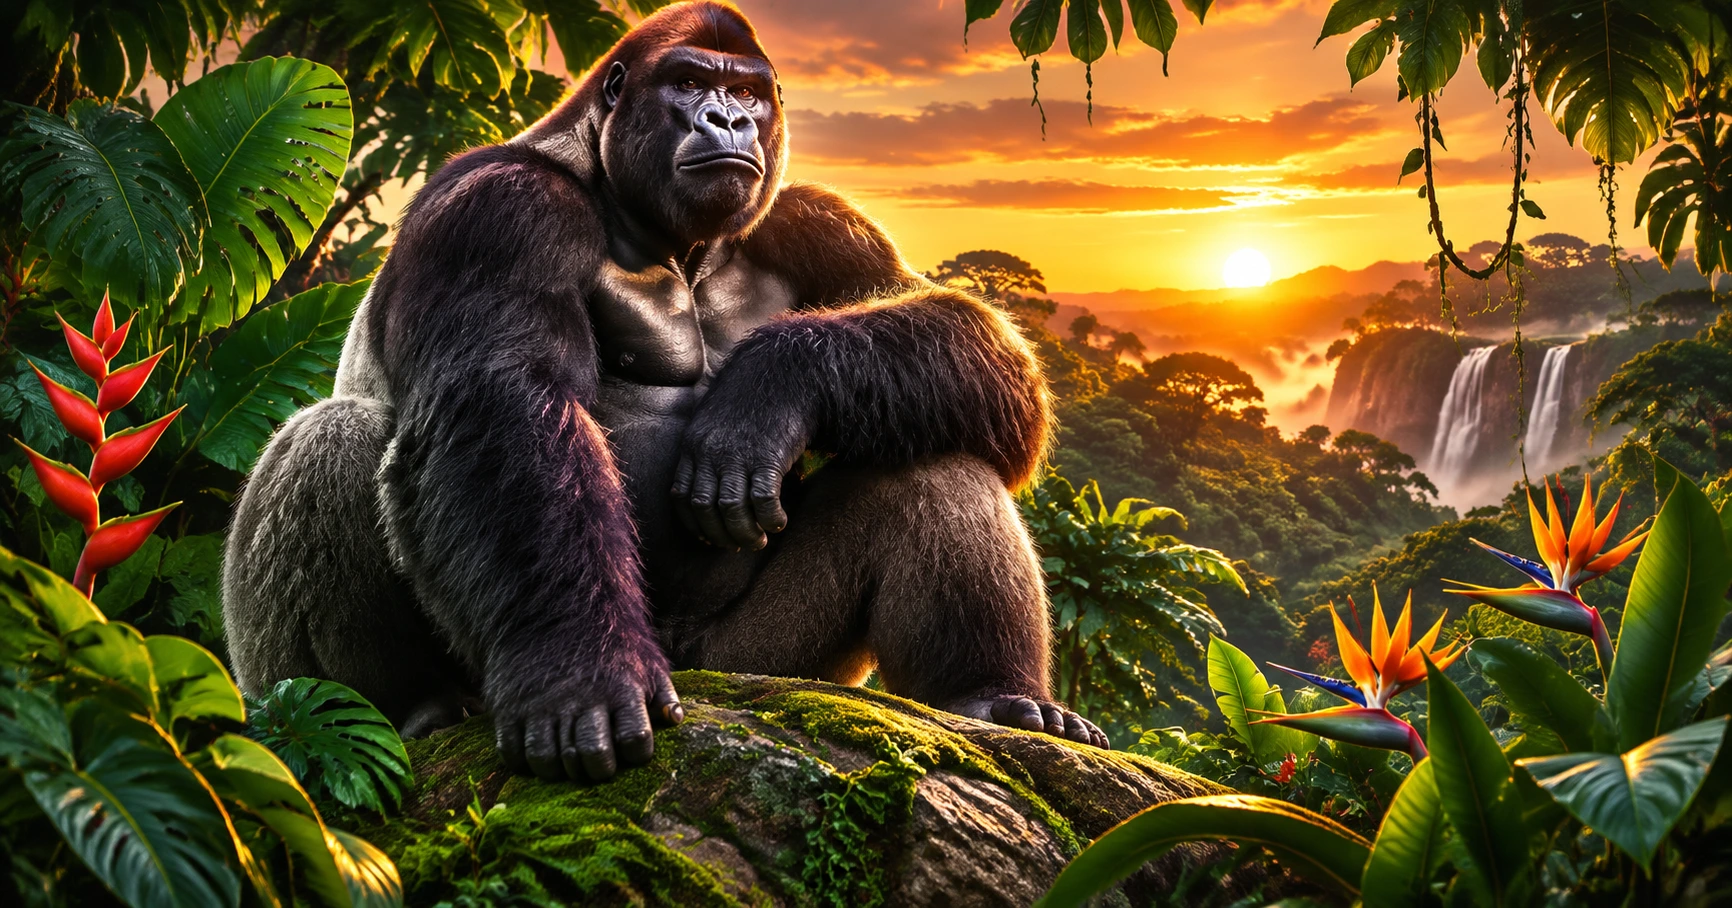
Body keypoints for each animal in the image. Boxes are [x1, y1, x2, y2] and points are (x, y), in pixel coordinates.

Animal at [222, 0, 1108, 785]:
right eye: (688, 82)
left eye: (748, 91)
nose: (729, 122)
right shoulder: (498, 207)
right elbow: (502, 401)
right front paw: (575, 671)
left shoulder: (815, 216)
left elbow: (978, 343)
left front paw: (772, 387)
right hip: (283, 692)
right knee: (330, 439)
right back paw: (412, 707)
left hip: (751, 667)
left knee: (936, 457)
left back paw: (989, 697)